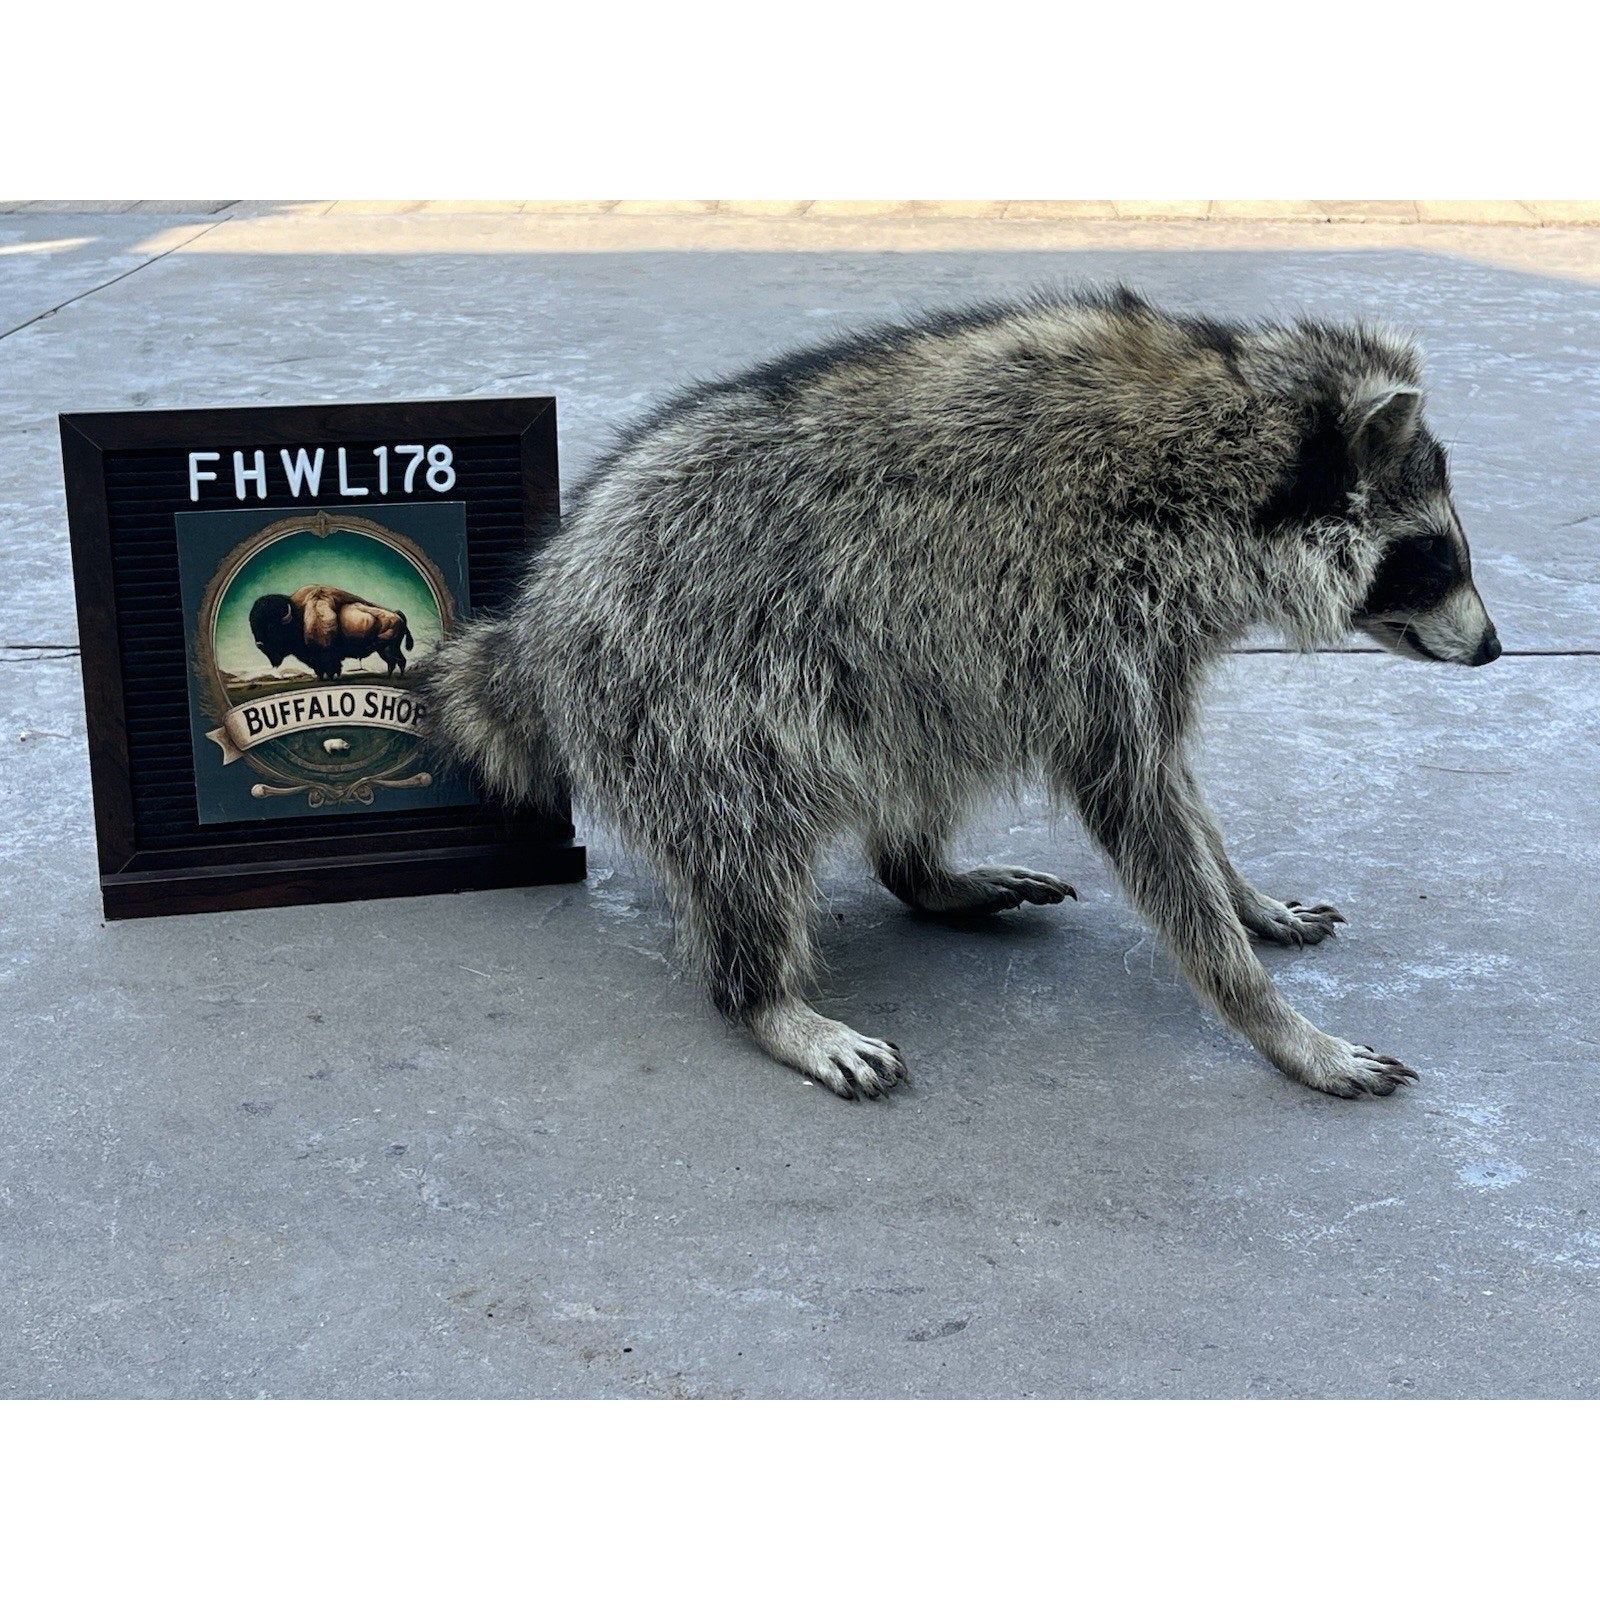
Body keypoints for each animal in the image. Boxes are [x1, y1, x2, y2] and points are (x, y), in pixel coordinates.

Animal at [430, 287, 1500, 1101]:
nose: (1494, 648)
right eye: (1435, 554)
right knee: (747, 835)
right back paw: (768, 1000)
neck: (1223, 454)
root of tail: (536, 622)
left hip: (896, 670)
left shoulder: (1140, 637)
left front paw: (1245, 895)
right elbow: (1143, 809)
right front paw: (1275, 1021)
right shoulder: (1091, 617)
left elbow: (1177, 788)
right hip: (686, 690)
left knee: (920, 741)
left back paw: (922, 871)